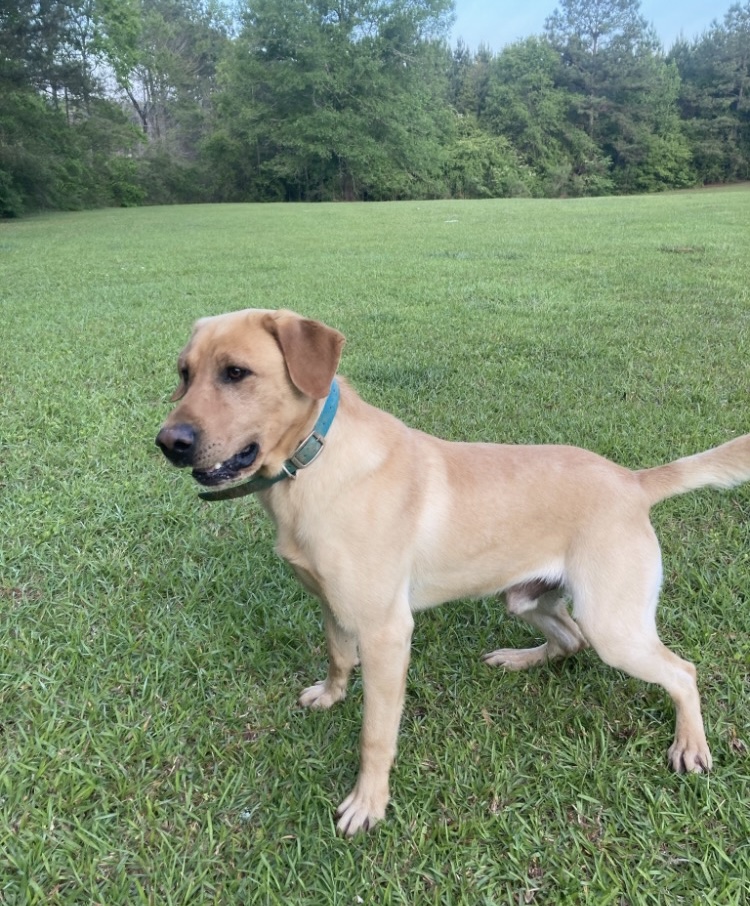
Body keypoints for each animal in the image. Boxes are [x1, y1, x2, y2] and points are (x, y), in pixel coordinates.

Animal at [157, 308, 750, 832]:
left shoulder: (386, 631)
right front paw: (330, 695)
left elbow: (376, 733)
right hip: (528, 599)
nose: (169, 443)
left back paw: (690, 743)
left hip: (615, 625)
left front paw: (368, 803)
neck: (314, 463)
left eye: (237, 372)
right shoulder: (332, 603)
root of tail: (633, 482)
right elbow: (337, 656)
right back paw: (518, 658)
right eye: (183, 373)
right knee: (569, 640)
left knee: (681, 671)